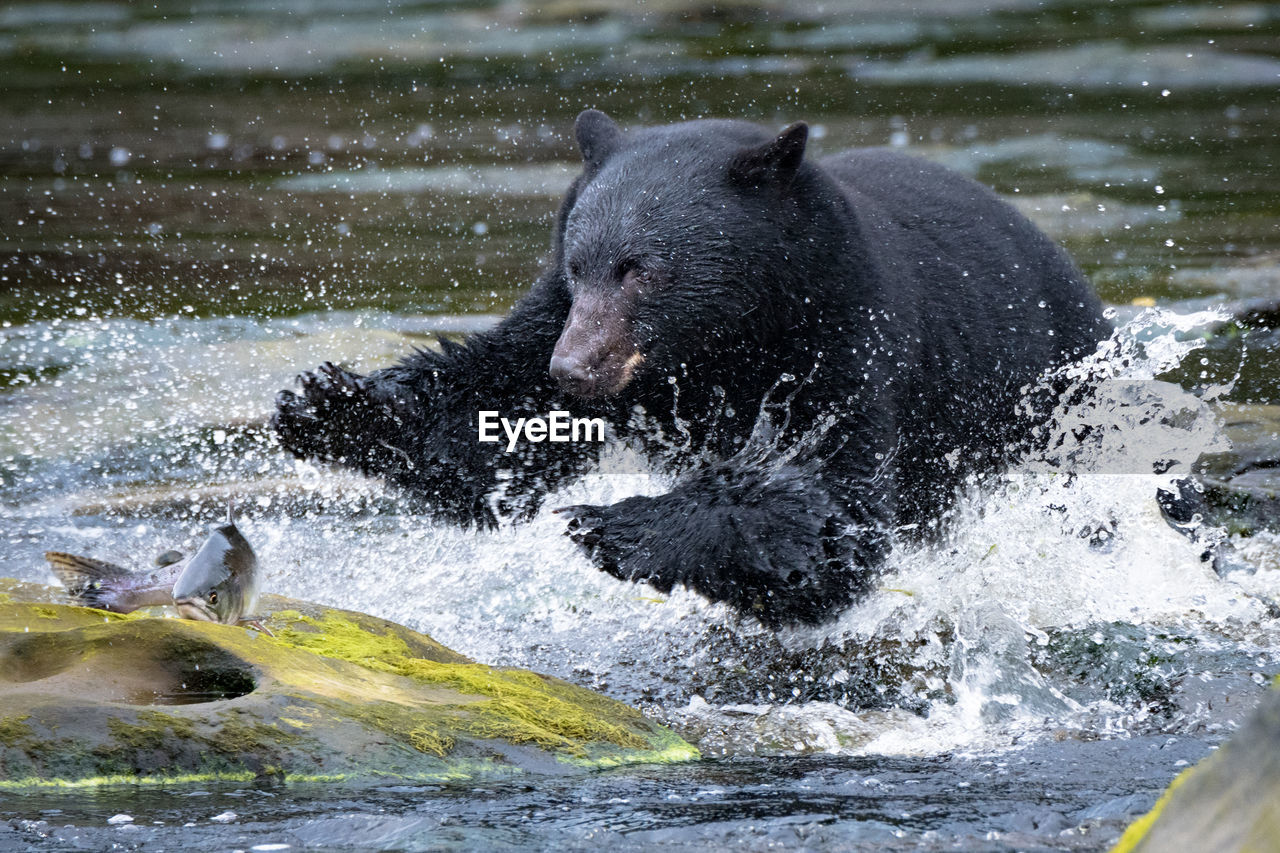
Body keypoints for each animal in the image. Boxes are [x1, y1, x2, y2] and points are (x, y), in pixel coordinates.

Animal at [272, 108, 1111, 625]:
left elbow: (834, 521)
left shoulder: (849, 341)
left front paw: (617, 523)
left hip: (1057, 407)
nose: (574, 368)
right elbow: (491, 421)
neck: (723, 341)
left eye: (640, 268)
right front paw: (332, 408)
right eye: (579, 263)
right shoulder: (553, 320)